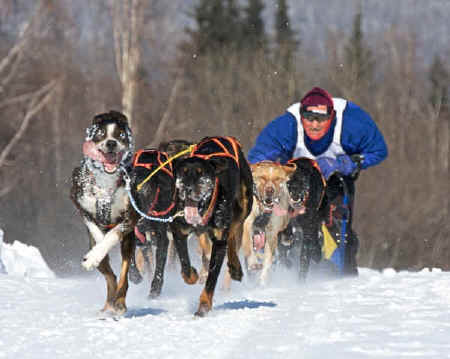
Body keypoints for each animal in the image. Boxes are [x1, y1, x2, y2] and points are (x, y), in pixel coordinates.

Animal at [172, 136, 253, 316]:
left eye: (201, 174)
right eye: (183, 172)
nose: (187, 188)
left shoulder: (219, 238)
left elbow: (212, 278)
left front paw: (203, 306)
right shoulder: (179, 230)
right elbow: (185, 265)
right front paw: (192, 275)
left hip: (243, 207)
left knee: (232, 232)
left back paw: (235, 267)